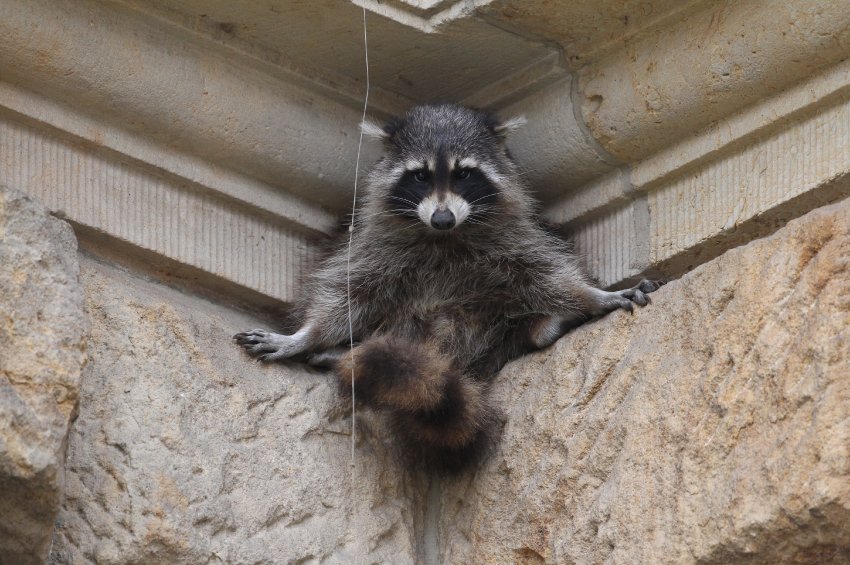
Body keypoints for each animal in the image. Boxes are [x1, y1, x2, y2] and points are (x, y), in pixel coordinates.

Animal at [234, 104, 662, 471]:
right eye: (420, 175)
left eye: (463, 174)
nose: (442, 218)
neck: (443, 238)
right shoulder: (374, 246)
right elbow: (347, 294)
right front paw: (306, 335)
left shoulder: (513, 238)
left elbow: (547, 274)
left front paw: (592, 297)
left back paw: (543, 327)